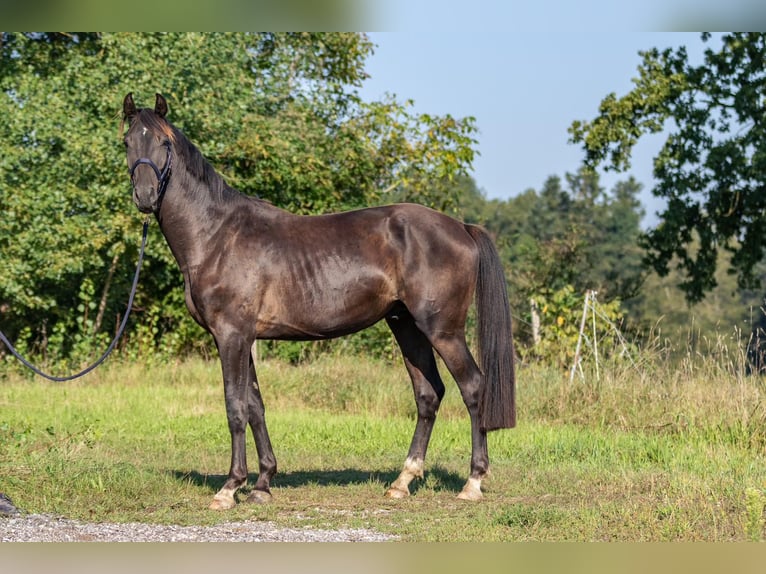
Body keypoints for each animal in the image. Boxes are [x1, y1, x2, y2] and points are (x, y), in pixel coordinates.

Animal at [121, 94, 516, 512]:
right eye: (127, 142)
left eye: (164, 143)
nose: (145, 197)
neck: (218, 235)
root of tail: (462, 228)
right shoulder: (245, 339)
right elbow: (255, 406)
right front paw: (263, 483)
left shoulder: (231, 336)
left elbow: (235, 408)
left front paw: (230, 487)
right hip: (406, 326)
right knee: (428, 394)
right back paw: (402, 481)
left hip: (443, 330)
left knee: (473, 387)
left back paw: (473, 482)